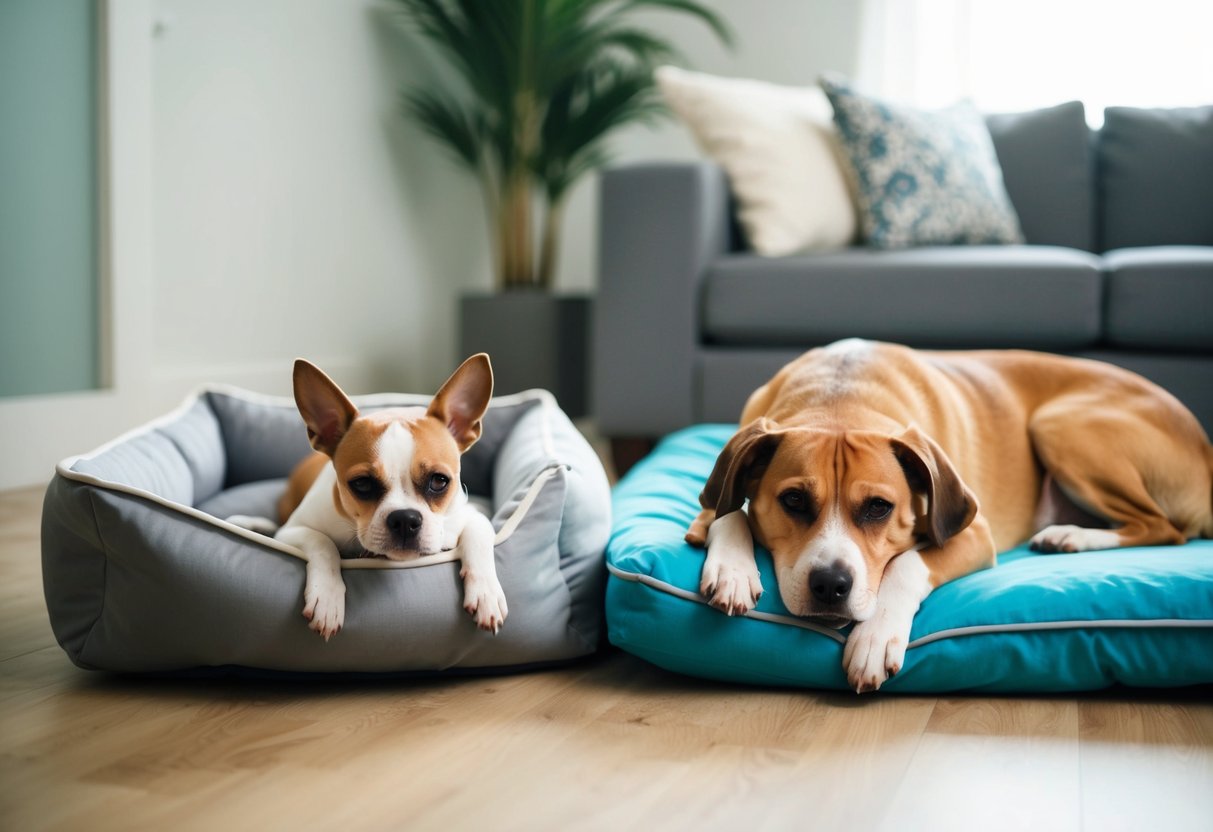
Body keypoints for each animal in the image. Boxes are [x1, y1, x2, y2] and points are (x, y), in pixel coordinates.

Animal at [272, 354, 504, 640]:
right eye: (361, 484)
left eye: (439, 481)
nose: (405, 519)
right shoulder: (289, 531)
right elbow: (322, 543)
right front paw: (326, 596)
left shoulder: (471, 517)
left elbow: (479, 536)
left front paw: (486, 592)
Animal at [688, 337, 1208, 688]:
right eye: (794, 500)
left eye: (879, 508)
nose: (832, 585)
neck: (841, 394)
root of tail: (1205, 446)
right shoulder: (713, 497)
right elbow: (726, 512)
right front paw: (733, 570)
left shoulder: (973, 532)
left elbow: (907, 563)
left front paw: (876, 636)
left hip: (1061, 423)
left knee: (1164, 528)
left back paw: (1072, 536)